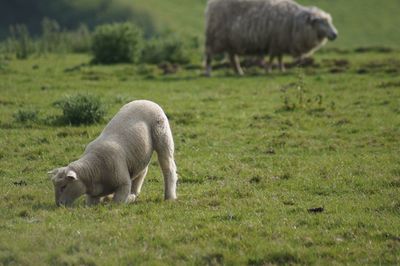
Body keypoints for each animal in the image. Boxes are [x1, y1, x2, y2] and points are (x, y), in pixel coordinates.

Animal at [47, 100, 177, 206]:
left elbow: (118, 202)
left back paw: (169, 197)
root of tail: (147, 100)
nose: (59, 204)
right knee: (142, 171)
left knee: (168, 167)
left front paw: (126, 200)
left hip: (163, 137)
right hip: (139, 155)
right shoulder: (92, 195)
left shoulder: (123, 184)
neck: (94, 168)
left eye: (64, 186)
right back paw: (134, 193)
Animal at [205, 0, 340, 76]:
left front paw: (281, 70)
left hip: (231, 42)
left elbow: (279, 58)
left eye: (329, 21)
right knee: (209, 55)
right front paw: (269, 70)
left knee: (233, 58)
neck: (295, 22)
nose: (335, 34)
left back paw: (239, 72)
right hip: (214, 39)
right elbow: (273, 57)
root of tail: (211, 4)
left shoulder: (280, 43)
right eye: (323, 22)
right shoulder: (276, 42)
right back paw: (208, 72)